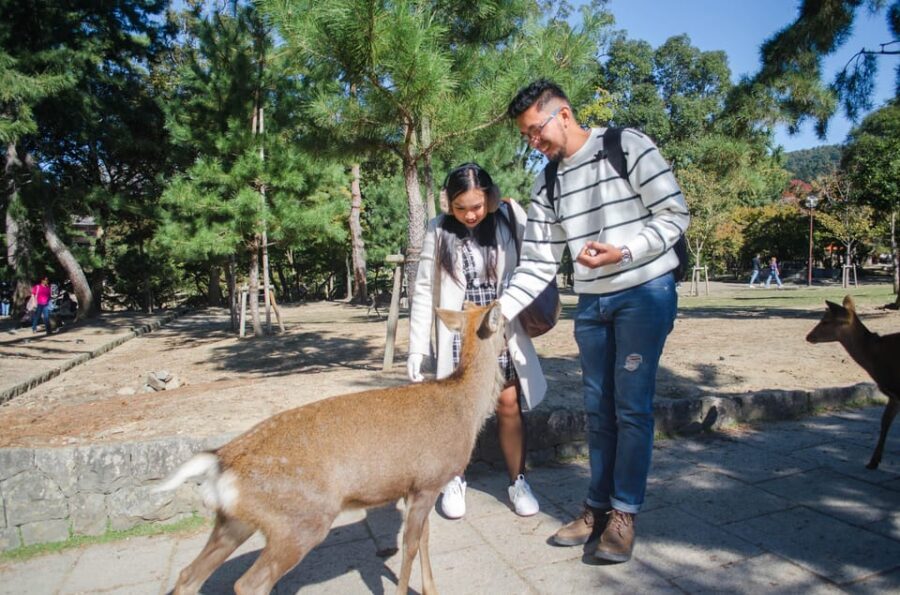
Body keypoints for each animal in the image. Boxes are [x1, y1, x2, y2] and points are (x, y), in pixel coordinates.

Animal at [154, 301, 507, 595]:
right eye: (503, 322)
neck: (465, 409)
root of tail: (221, 461)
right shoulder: (429, 480)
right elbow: (409, 546)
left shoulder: (415, 487)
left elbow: (424, 541)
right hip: (301, 520)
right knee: (248, 584)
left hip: (234, 521)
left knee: (188, 575)